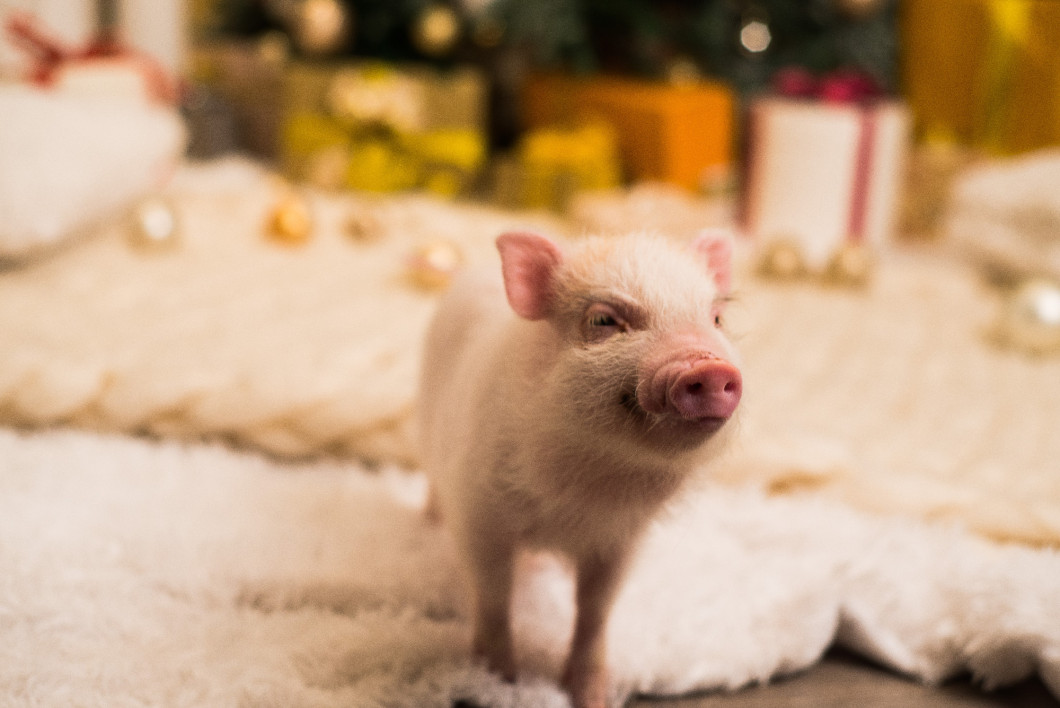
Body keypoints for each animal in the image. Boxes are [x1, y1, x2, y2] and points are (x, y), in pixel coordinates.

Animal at [417, 229, 741, 703]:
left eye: (716, 318)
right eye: (604, 320)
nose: (712, 367)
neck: (586, 487)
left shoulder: (619, 539)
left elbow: (595, 610)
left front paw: (589, 697)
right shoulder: (480, 512)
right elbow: (494, 594)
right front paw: (500, 680)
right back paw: (427, 522)